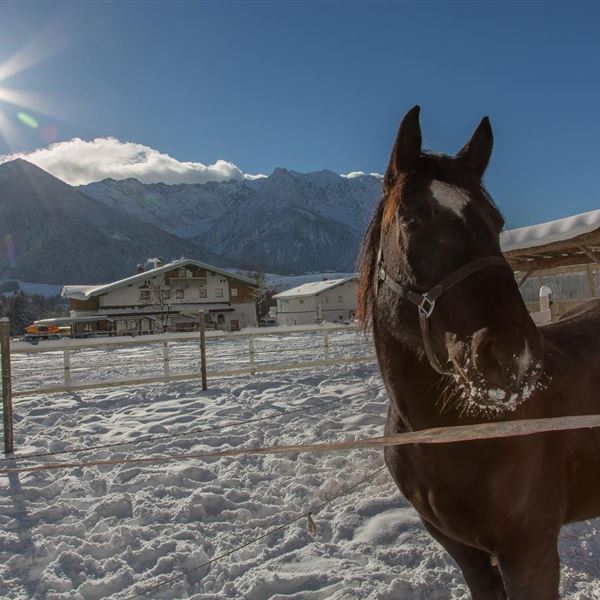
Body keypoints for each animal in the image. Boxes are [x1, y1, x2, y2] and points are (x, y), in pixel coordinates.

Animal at [358, 104, 600, 600]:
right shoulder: (465, 554)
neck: (449, 433)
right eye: (411, 221)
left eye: (497, 222)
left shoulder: (530, 554)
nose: (512, 355)